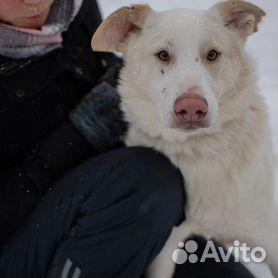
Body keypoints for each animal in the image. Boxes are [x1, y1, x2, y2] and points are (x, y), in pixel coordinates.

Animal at [92, 0, 276, 276]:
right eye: (163, 55)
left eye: (212, 54)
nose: (191, 108)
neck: (201, 152)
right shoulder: (166, 249)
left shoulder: (269, 234)